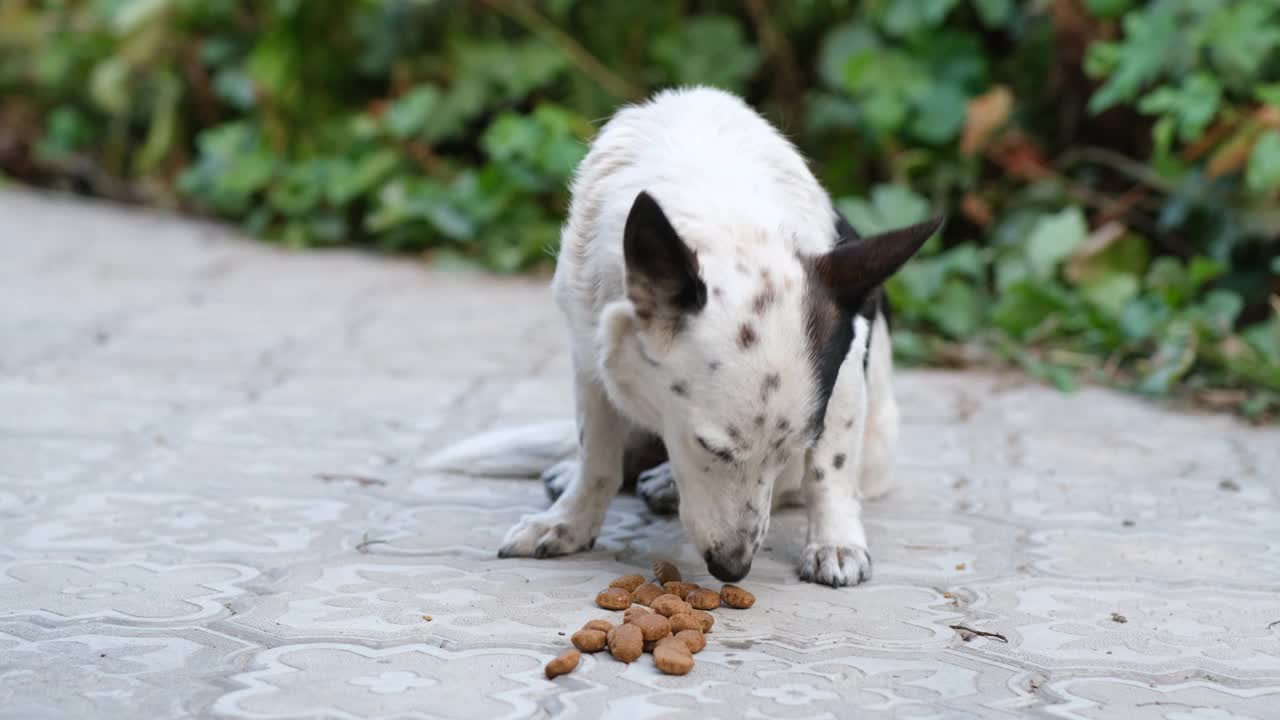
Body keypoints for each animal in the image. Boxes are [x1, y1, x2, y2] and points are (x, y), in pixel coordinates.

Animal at [430, 87, 942, 586]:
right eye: (711, 448)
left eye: (794, 445)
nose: (733, 570)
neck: (722, 208)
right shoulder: (590, 357)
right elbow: (597, 458)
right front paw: (570, 521)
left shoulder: (846, 369)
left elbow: (826, 471)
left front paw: (834, 542)